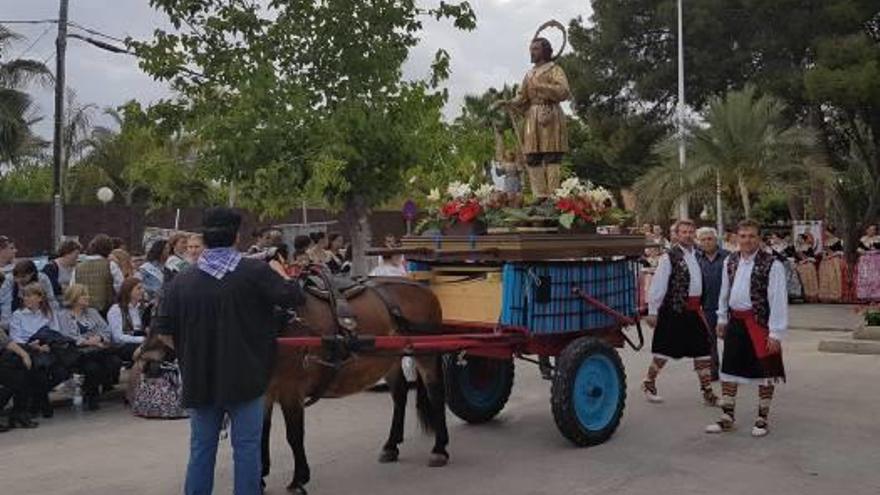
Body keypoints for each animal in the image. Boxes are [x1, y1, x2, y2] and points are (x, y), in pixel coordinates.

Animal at [262, 280, 450, 495]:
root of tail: (425, 288)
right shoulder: (265, 393)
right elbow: (262, 431)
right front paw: (261, 476)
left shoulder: (291, 389)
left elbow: (294, 435)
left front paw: (298, 479)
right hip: (389, 359)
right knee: (400, 393)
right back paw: (391, 445)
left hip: (426, 354)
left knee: (436, 393)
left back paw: (439, 449)